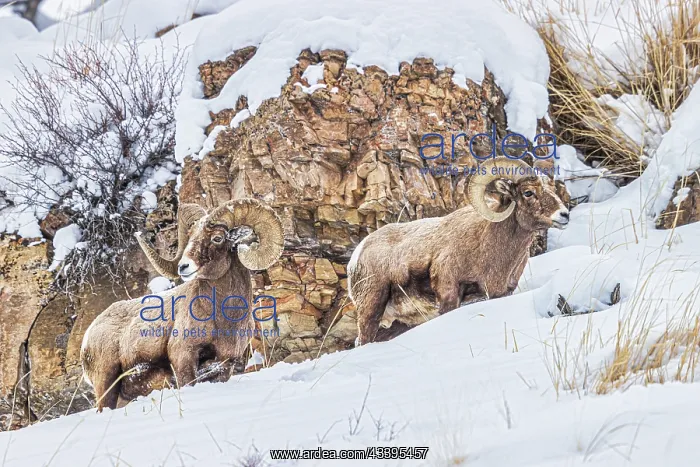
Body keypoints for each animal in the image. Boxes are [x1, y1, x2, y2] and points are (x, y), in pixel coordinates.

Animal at [80, 198, 284, 411]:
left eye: (218, 238)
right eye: (190, 237)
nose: (183, 267)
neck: (223, 319)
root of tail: (89, 335)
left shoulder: (224, 364)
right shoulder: (184, 357)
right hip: (106, 383)